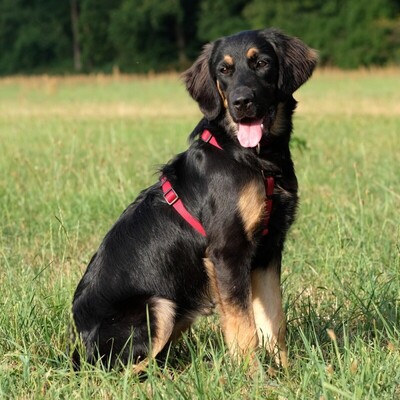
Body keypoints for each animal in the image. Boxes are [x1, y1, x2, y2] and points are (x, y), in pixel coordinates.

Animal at [71, 28, 316, 370]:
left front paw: (286, 373)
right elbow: (244, 329)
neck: (253, 159)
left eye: (262, 63)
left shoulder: (268, 251)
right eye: (224, 70)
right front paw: (252, 376)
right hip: (158, 306)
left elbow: (273, 322)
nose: (241, 102)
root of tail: (80, 346)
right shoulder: (228, 251)